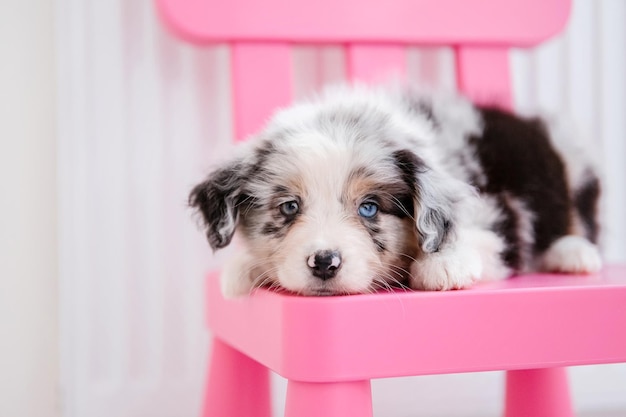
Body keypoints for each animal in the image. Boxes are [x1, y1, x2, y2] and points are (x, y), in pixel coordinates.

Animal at [186, 83, 600, 296]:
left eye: (369, 207)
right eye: (289, 207)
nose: (324, 262)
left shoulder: (499, 212)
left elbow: (480, 236)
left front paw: (442, 264)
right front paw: (242, 267)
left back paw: (574, 254)